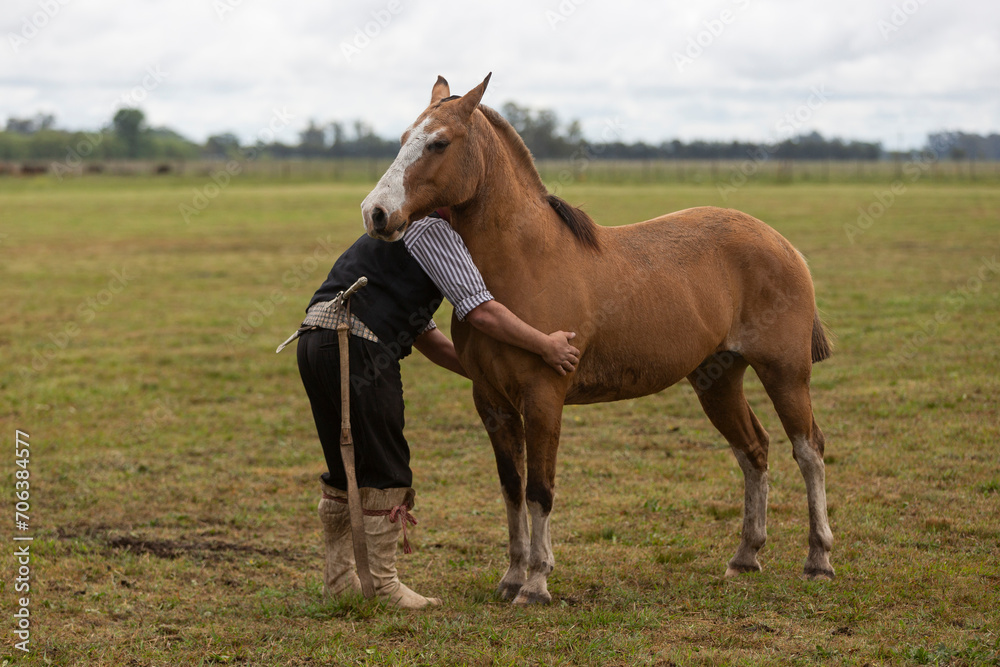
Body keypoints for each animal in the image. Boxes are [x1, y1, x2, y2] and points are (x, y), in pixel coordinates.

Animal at [360, 74, 836, 604]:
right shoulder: (492, 402)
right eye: (404, 139)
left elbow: (540, 491)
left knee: (808, 450)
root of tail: (783, 244)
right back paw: (745, 556)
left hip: (786, 373)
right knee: (754, 451)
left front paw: (537, 583)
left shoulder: (543, 397)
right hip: (717, 380)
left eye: (439, 143)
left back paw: (818, 559)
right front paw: (512, 577)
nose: (375, 213)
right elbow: (512, 488)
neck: (523, 262)